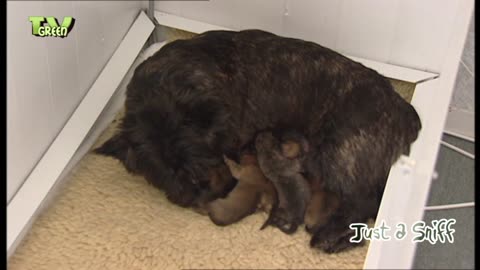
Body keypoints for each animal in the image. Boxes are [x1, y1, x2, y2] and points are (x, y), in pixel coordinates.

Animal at [95, 30, 422, 253]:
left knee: (363, 201)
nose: (202, 194)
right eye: (166, 175)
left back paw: (330, 237)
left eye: (200, 159)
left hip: (339, 154)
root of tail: (406, 112)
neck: (168, 92)